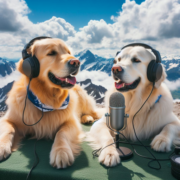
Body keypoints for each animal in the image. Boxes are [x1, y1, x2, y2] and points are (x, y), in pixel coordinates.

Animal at [0, 38, 100, 169]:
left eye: (68, 52)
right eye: (52, 53)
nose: (76, 62)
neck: (46, 100)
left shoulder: (71, 122)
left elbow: (61, 133)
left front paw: (61, 152)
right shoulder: (8, 119)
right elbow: (8, 129)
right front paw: (2, 146)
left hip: (84, 98)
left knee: (93, 112)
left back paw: (87, 117)